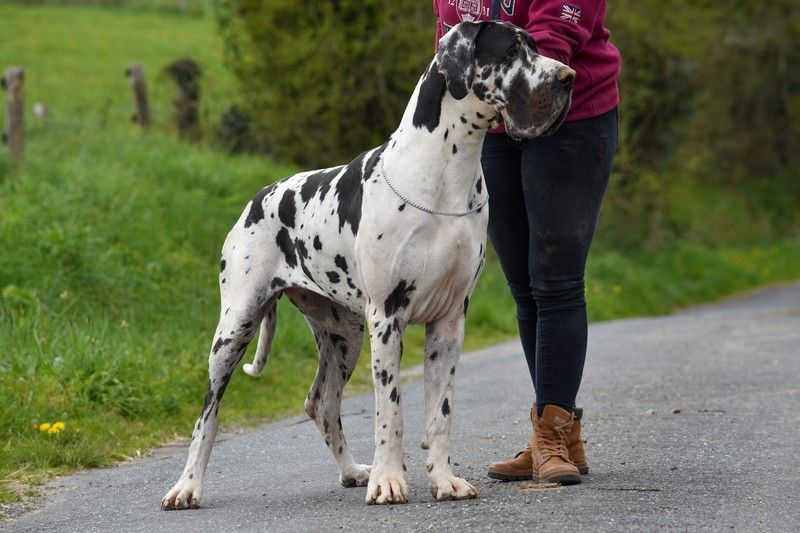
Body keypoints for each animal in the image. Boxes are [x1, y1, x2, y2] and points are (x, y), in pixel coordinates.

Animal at [161, 20, 574, 509]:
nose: (568, 77)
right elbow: (390, 411)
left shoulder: (450, 322)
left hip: (344, 335)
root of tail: (257, 197)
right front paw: (390, 481)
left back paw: (353, 471)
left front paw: (443, 480)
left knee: (321, 403)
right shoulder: (387, 317)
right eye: (510, 51)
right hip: (235, 326)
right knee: (208, 412)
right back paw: (187, 487)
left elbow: (440, 414)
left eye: (537, 46)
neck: (445, 176)